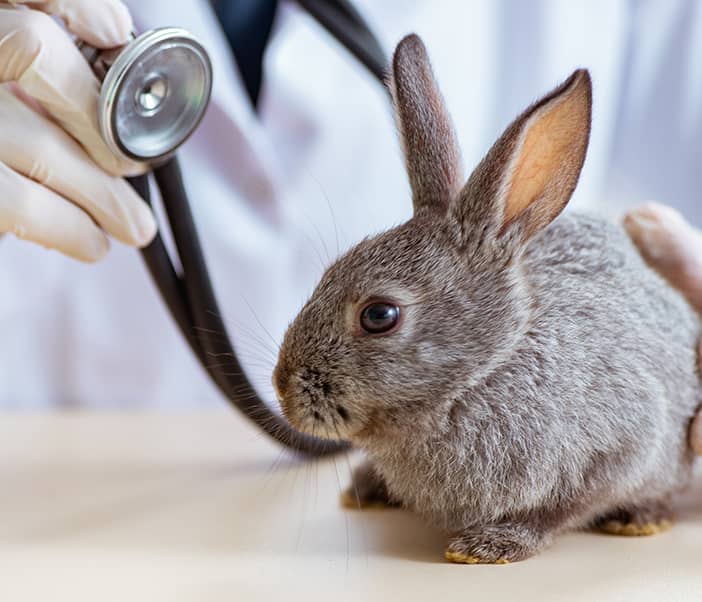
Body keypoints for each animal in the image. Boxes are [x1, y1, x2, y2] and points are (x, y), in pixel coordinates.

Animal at [272, 34, 700, 564]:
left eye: (379, 315)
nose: (283, 389)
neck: (484, 372)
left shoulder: (626, 443)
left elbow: (565, 508)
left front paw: (492, 544)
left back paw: (641, 518)